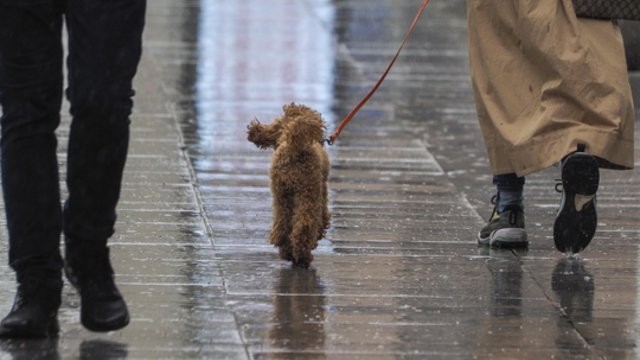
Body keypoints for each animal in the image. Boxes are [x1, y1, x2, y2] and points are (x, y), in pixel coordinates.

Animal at [248, 103, 330, 268]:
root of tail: (293, 149)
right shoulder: (321, 191)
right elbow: (322, 219)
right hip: (309, 192)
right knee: (304, 225)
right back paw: (303, 256)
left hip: (281, 193)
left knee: (282, 227)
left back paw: (288, 253)